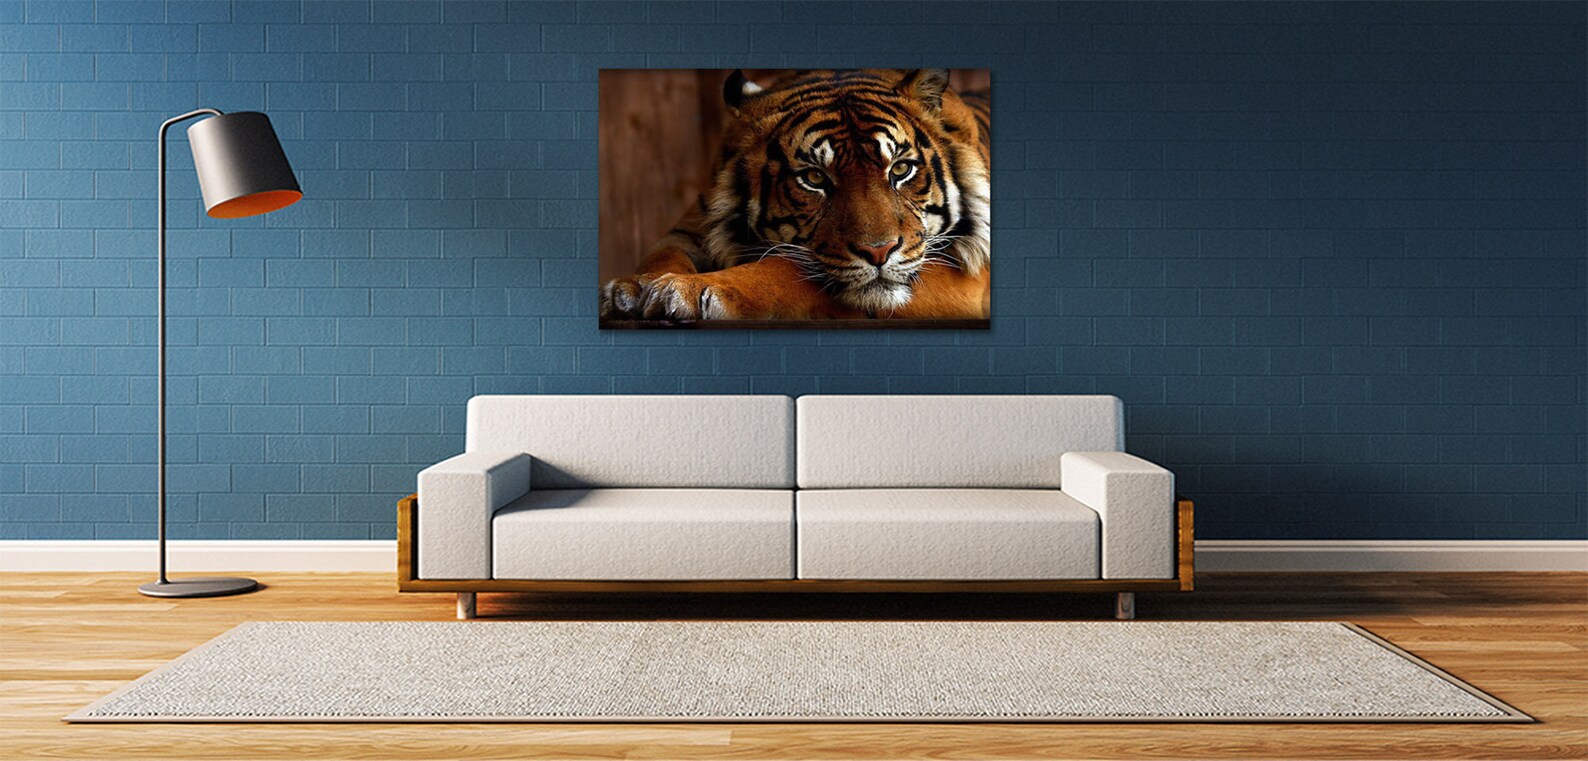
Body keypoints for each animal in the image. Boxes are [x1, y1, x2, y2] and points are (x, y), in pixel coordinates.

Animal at [599, 68, 991, 322]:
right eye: (814, 178)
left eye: (899, 170)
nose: (878, 252)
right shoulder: (688, 229)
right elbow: (662, 256)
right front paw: (631, 290)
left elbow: (783, 270)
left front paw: (686, 291)